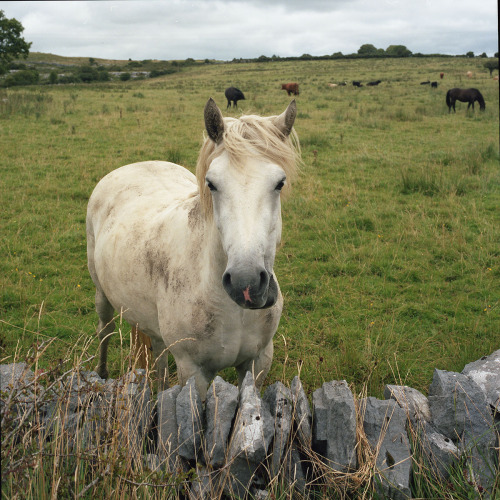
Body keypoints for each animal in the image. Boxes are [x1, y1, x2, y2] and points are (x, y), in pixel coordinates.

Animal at [86, 98, 300, 398]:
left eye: (279, 183)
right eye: (211, 184)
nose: (245, 283)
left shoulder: (258, 363)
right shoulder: (193, 372)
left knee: (158, 355)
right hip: (101, 293)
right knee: (104, 330)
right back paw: (102, 374)